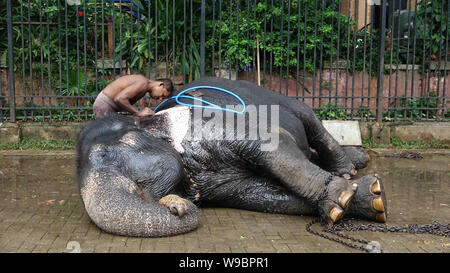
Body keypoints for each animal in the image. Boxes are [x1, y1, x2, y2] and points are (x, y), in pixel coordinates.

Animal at [75, 76, 384, 236]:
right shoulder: (217, 184)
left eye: (110, 151)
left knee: (310, 121)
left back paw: (349, 168)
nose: (176, 207)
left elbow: (272, 145)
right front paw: (364, 199)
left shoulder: (211, 124)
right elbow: (261, 195)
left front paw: (347, 194)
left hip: (280, 99)